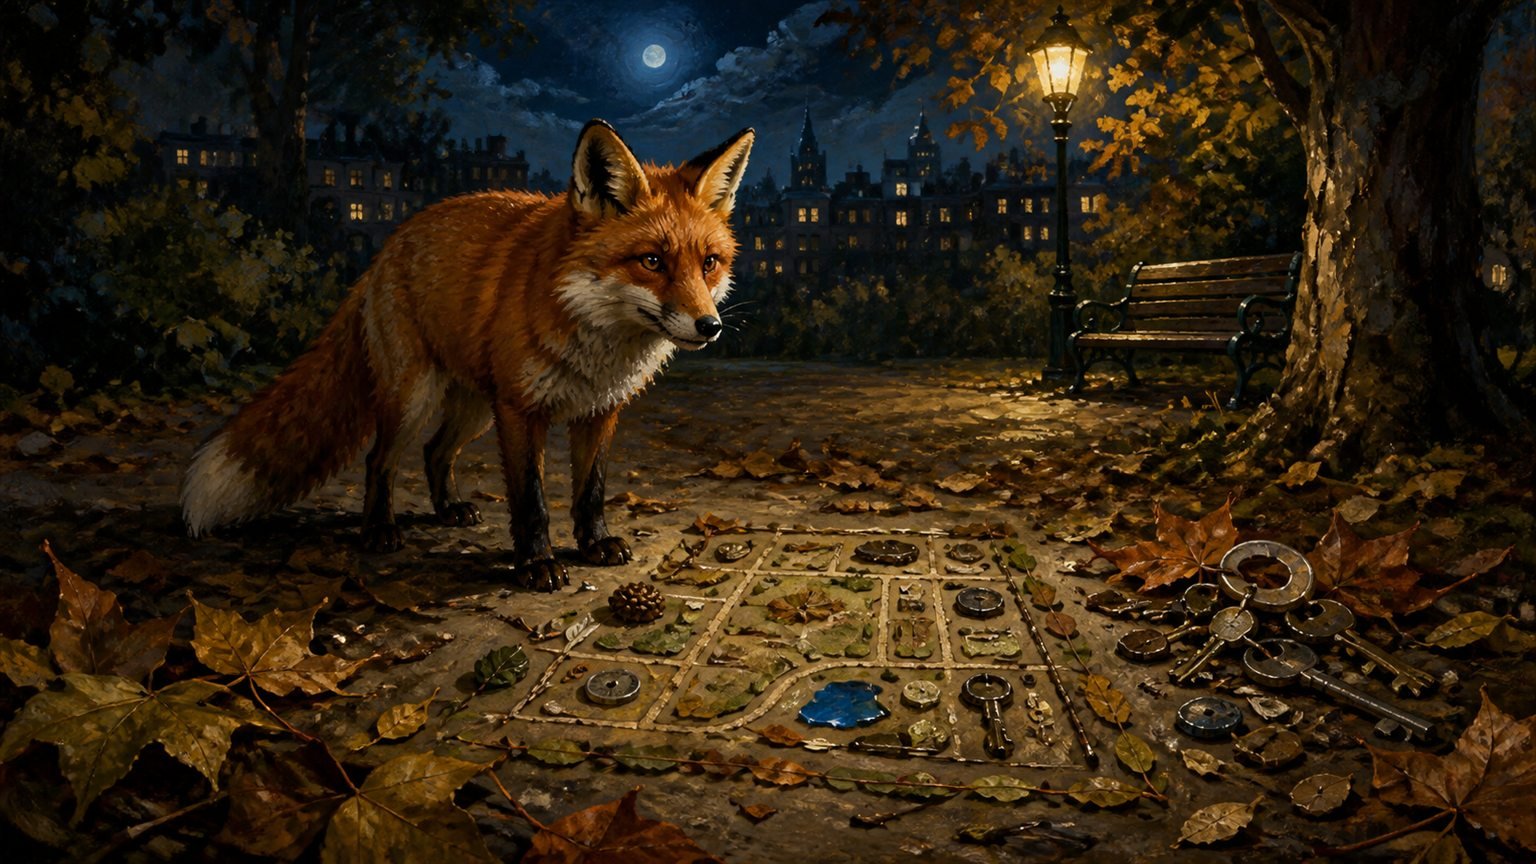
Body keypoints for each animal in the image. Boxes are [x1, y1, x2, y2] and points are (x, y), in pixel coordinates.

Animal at [182, 120, 754, 590]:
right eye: (652, 261)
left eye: (709, 263)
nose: (710, 326)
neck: (594, 338)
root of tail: (386, 250)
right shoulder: (521, 412)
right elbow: (531, 500)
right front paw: (536, 565)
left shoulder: (600, 410)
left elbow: (591, 490)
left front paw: (594, 544)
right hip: (415, 401)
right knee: (379, 460)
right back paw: (380, 530)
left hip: (475, 410)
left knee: (436, 453)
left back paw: (449, 509)